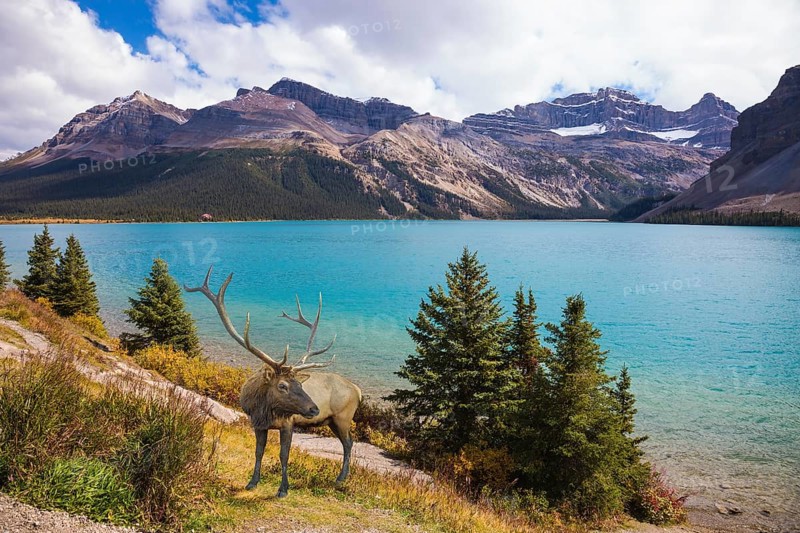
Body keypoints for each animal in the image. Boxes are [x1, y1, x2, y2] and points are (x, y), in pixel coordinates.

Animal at [185, 266, 361, 498]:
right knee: (347, 443)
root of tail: (358, 391)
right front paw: (252, 482)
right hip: (332, 420)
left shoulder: (288, 422)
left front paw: (283, 489)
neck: (264, 409)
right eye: (282, 386)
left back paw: (341, 478)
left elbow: (283, 455)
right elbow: (259, 451)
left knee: (349, 443)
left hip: (343, 417)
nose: (314, 409)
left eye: (300, 385)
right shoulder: (257, 423)